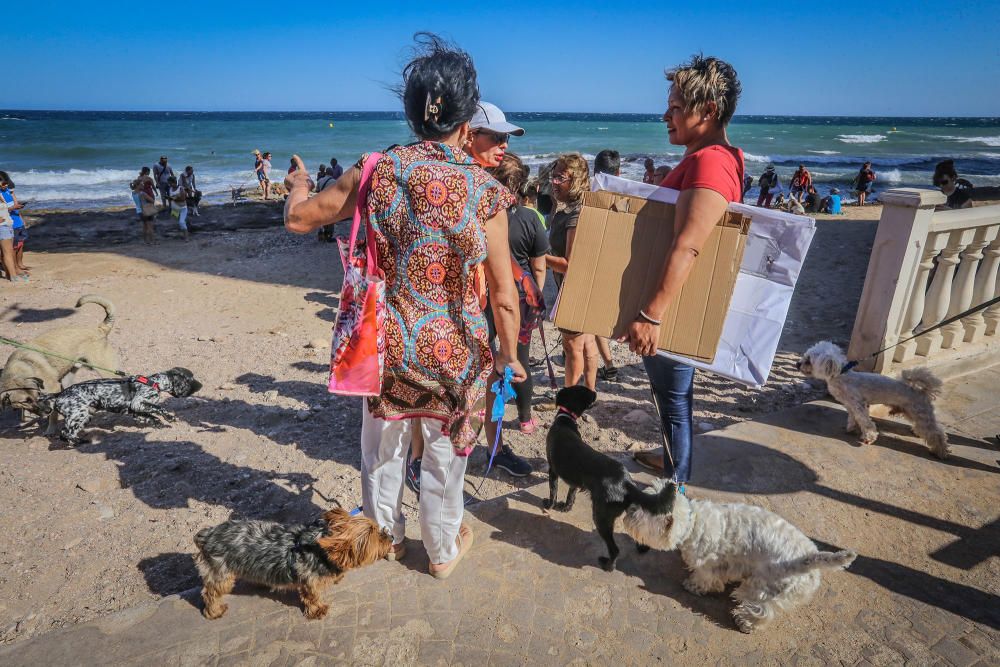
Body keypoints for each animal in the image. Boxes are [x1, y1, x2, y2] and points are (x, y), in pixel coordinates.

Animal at [32, 368, 203, 446]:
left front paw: (159, 425)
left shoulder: (136, 411)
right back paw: (80, 441)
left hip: (84, 415)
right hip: (80, 414)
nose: (201, 385)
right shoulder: (139, 403)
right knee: (65, 432)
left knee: (65, 434)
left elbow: (151, 417)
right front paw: (169, 418)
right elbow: (158, 409)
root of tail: (59, 395)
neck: (154, 382)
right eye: (191, 379)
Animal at [544, 386, 676, 576]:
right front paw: (567, 507)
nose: (594, 392)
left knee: (615, 549)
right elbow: (571, 494)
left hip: (601, 517)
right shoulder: (575, 480)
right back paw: (641, 548)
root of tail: (626, 482)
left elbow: (553, 491)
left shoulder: (552, 470)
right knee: (638, 533)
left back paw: (607, 565)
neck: (565, 420)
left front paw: (549, 505)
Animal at [620, 482, 856, 636]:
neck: (692, 522)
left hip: (763, 588)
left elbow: (704, 579)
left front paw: (693, 586)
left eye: (641, 511)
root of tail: (810, 558)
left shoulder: (708, 565)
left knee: (762, 611)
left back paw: (745, 623)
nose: (628, 508)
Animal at [792, 344, 948, 460]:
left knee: (937, 433)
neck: (841, 375)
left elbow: (866, 423)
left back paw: (940, 452)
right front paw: (851, 428)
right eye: (805, 356)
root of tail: (921, 391)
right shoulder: (850, 406)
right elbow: (852, 418)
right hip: (911, 413)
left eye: (808, 360)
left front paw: (869, 438)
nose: (797, 364)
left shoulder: (859, 405)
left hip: (921, 415)